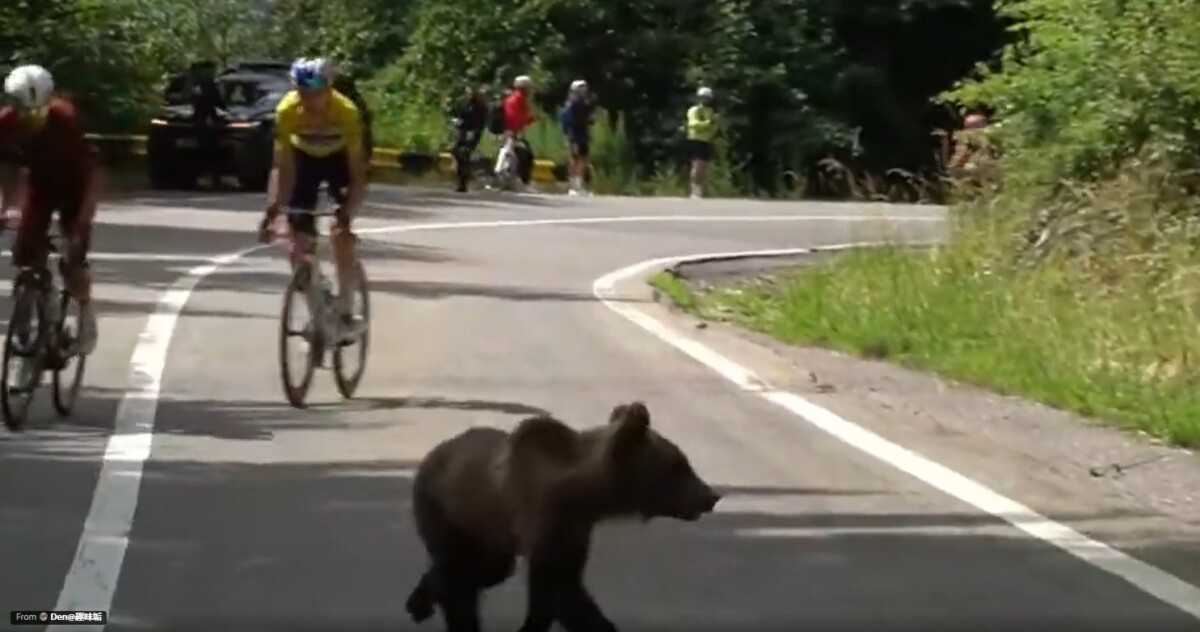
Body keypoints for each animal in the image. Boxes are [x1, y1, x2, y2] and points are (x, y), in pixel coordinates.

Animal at [405, 400, 721, 632]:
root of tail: (431, 455)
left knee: (483, 570)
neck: (584, 494)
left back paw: (423, 600)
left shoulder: (576, 530)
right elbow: (560, 590)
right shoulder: (545, 521)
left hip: (485, 532)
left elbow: (560, 589)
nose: (711, 496)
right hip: (447, 511)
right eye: (679, 465)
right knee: (460, 575)